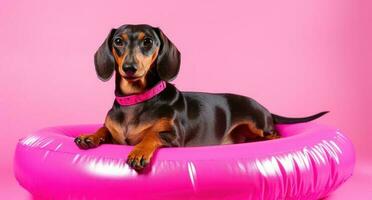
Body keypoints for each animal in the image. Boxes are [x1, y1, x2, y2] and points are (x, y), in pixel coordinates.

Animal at [74, 24, 326, 171]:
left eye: (148, 41)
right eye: (118, 41)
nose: (129, 68)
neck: (136, 101)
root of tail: (265, 109)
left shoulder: (174, 136)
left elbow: (152, 134)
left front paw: (138, 152)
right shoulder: (113, 131)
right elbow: (104, 129)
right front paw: (90, 136)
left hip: (258, 125)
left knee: (275, 135)